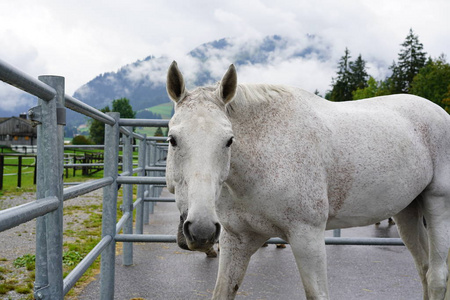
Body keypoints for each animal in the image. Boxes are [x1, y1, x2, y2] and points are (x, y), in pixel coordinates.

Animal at [164, 61, 450, 300]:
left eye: (229, 140)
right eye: (173, 139)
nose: (201, 229)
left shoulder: (307, 237)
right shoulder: (237, 240)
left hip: (437, 205)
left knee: (437, 277)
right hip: (407, 212)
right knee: (424, 269)